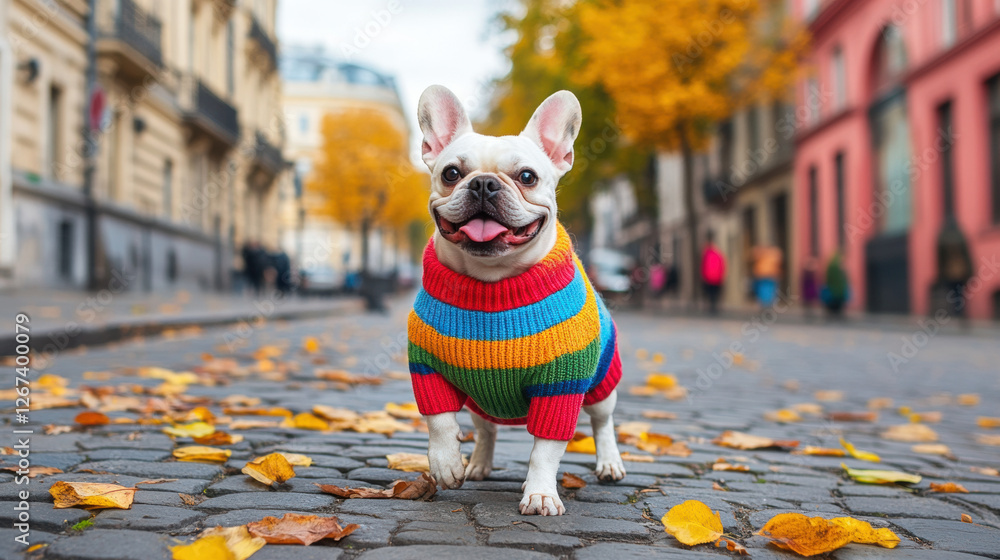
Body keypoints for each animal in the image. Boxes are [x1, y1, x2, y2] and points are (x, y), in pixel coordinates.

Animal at [406, 84, 624, 516]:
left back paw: (609, 463)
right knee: (485, 429)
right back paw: (478, 464)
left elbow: (546, 449)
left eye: (527, 176)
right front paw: (446, 465)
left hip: (602, 385)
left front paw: (540, 493)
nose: (484, 184)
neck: (494, 280)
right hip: (480, 401)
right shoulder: (426, 368)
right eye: (451, 173)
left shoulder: (561, 386)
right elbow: (440, 420)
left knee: (602, 422)